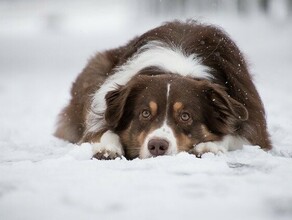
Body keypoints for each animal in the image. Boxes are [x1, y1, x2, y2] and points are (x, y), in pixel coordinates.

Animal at [54, 20, 272, 159]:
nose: (157, 146)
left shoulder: (253, 124)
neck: (177, 68)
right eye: (144, 113)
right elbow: (102, 129)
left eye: (185, 116)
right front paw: (107, 147)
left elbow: (234, 135)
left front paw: (210, 145)